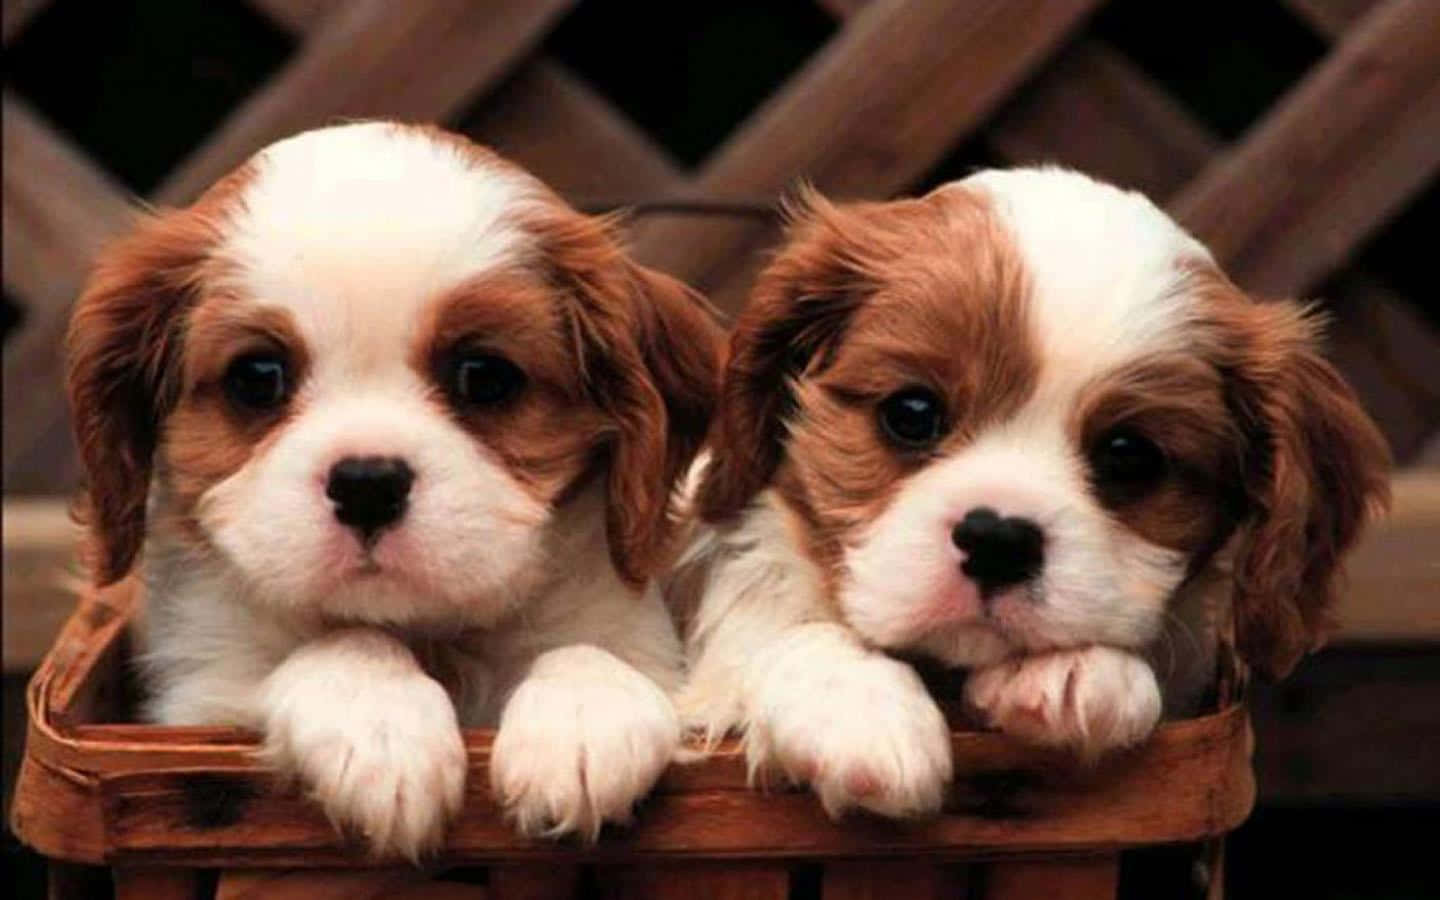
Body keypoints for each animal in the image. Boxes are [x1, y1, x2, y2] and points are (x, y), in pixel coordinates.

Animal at [64, 120, 720, 858]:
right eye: (257, 377)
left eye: (484, 376)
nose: (368, 485)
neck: (432, 637)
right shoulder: (200, 702)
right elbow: (346, 644)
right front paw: (379, 727)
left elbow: (591, 650)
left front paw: (585, 718)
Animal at [673, 168, 1393, 823]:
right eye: (911, 412)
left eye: (1129, 456)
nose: (997, 539)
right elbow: (781, 623)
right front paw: (859, 709)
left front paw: (1079, 671)